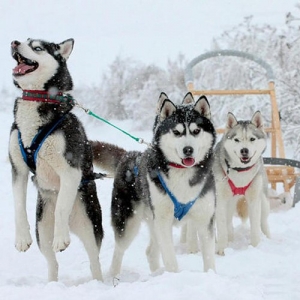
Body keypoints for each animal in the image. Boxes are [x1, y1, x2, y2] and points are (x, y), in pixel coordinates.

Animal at [9, 38, 103, 282]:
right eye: (24, 40)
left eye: (38, 47)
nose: (14, 42)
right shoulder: (18, 169)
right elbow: (18, 205)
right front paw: (21, 238)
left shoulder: (70, 169)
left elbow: (61, 207)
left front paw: (61, 238)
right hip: (42, 230)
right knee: (52, 262)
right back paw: (52, 283)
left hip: (90, 226)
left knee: (94, 260)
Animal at [92, 93, 217, 276]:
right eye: (176, 132)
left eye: (196, 131)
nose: (188, 150)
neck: (182, 174)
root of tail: (129, 155)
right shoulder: (163, 221)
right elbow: (170, 259)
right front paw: (174, 275)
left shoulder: (204, 217)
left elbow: (209, 259)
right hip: (129, 222)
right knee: (119, 250)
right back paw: (113, 276)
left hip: (152, 221)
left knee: (151, 252)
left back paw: (157, 273)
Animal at [213, 111, 272, 254]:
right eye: (236, 140)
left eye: (252, 139)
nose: (244, 150)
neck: (240, 172)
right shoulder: (220, 200)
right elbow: (221, 226)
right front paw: (221, 249)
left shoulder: (254, 200)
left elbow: (255, 226)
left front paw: (256, 247)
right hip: (228, 204)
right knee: (227, 222)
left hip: (263, 201)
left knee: (263, 222)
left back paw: (268, 238)